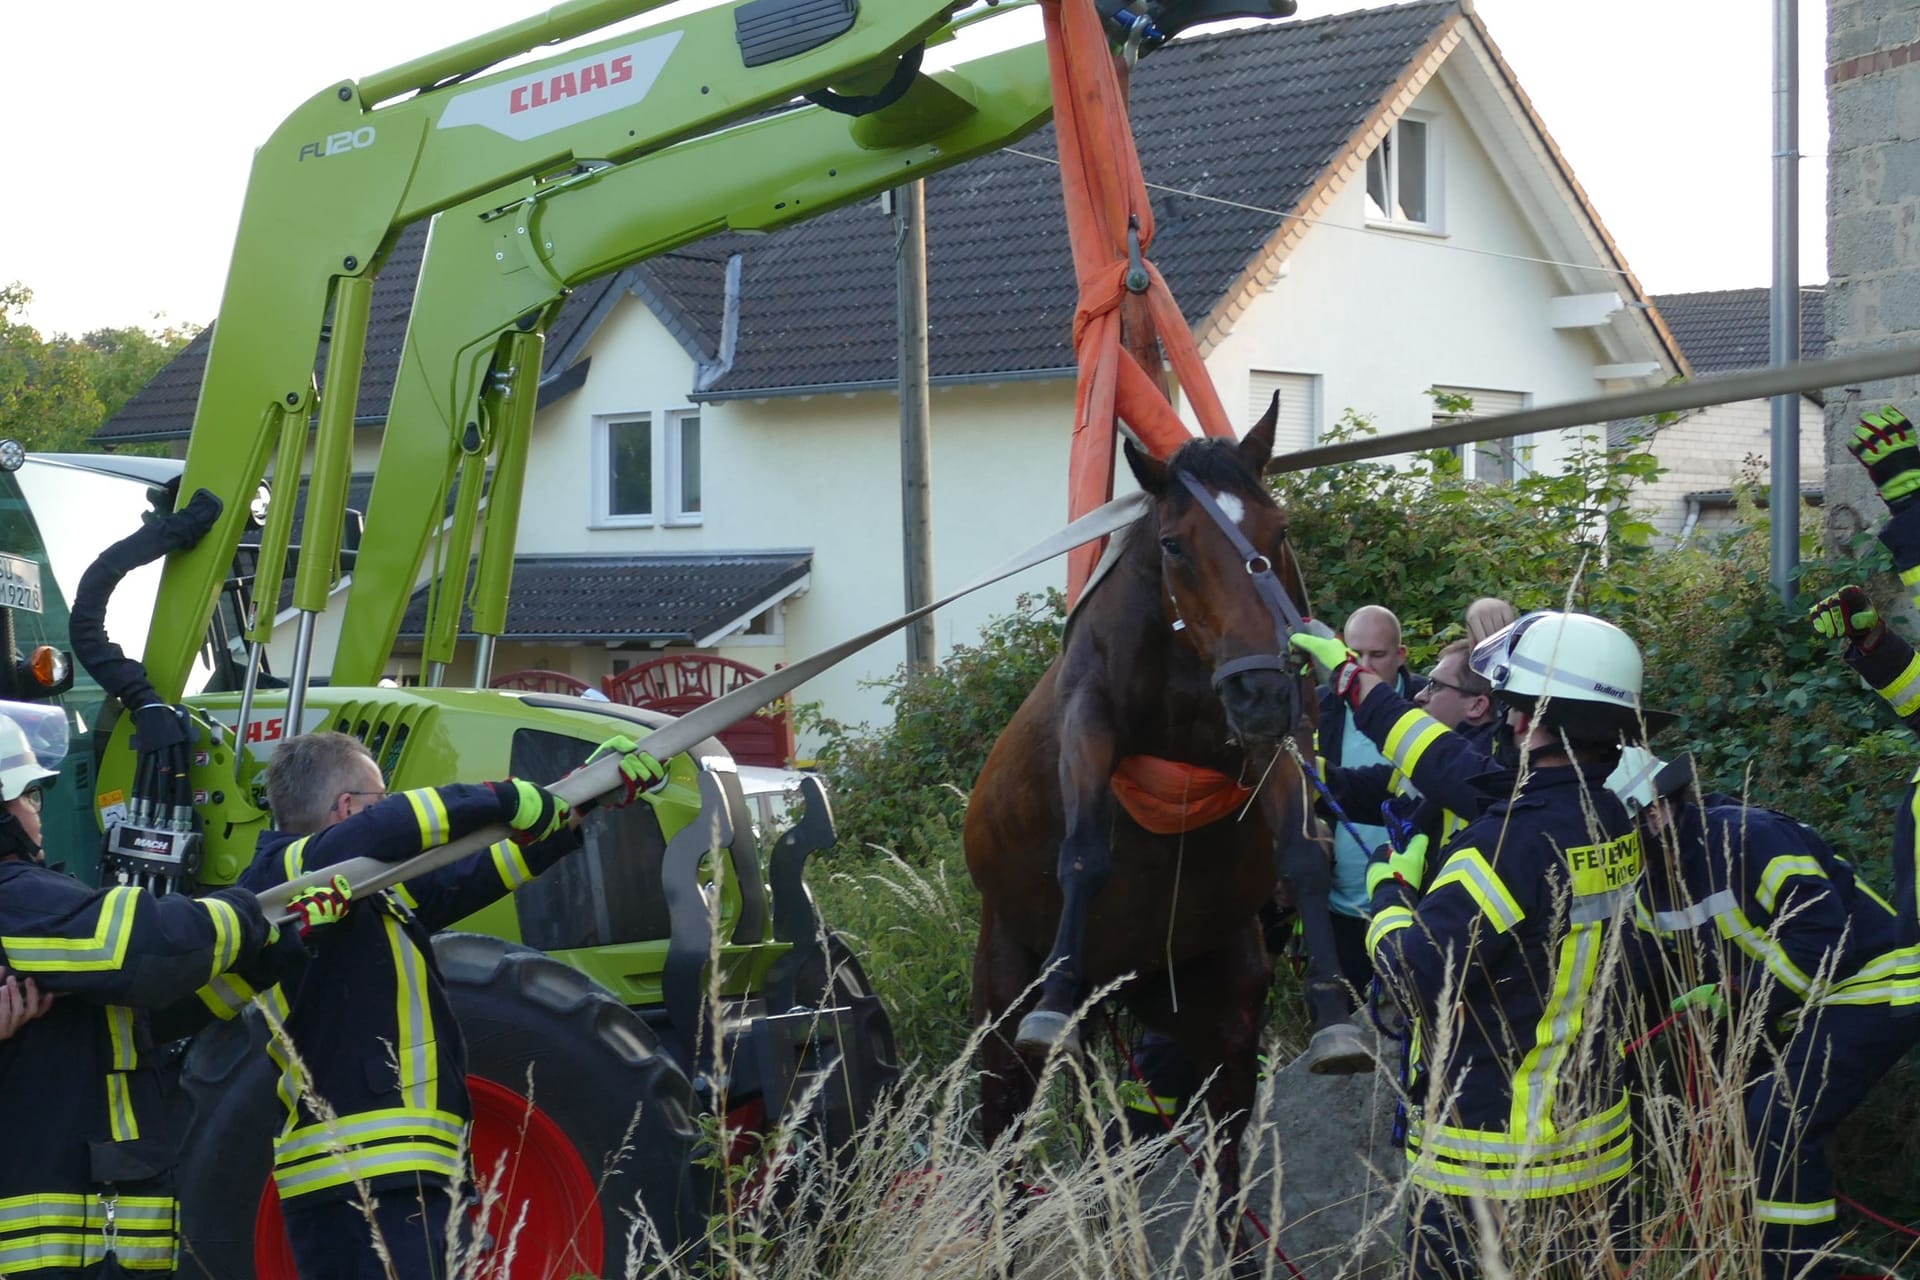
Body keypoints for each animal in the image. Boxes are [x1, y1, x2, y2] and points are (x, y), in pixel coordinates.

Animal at [967, 401, 1374, 1251]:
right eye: (1176, 545)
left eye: (1278, 528)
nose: (1257, 690)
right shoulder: (1090, 715)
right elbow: (1086, 851)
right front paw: (1057, 993)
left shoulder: (1272, 740)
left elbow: (1305, 854)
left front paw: (1335, 1019)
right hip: (1000, 1015)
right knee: (1005, 1165)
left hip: (1215, 1023)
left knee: (1219, 1175)